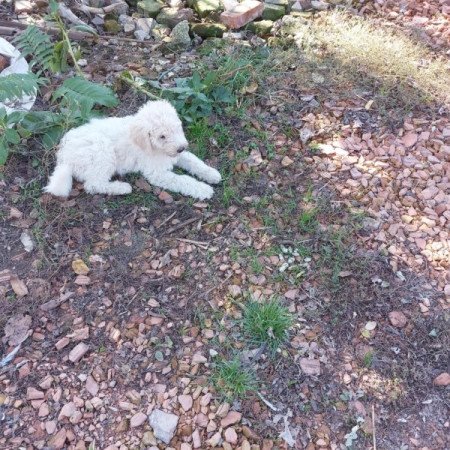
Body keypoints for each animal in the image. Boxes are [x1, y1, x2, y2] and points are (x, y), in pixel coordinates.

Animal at [44, 102, 221, 202]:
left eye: (177, 127)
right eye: (162, 136)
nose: (181, 148)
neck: (154, 148)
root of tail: (63, 158)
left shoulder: (177, 155)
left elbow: (194, 161)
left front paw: (212, 174)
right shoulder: (157, 173)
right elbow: (183, 180)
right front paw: (203, 189)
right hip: (102, 151)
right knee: (93, 184)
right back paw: (122, 188)